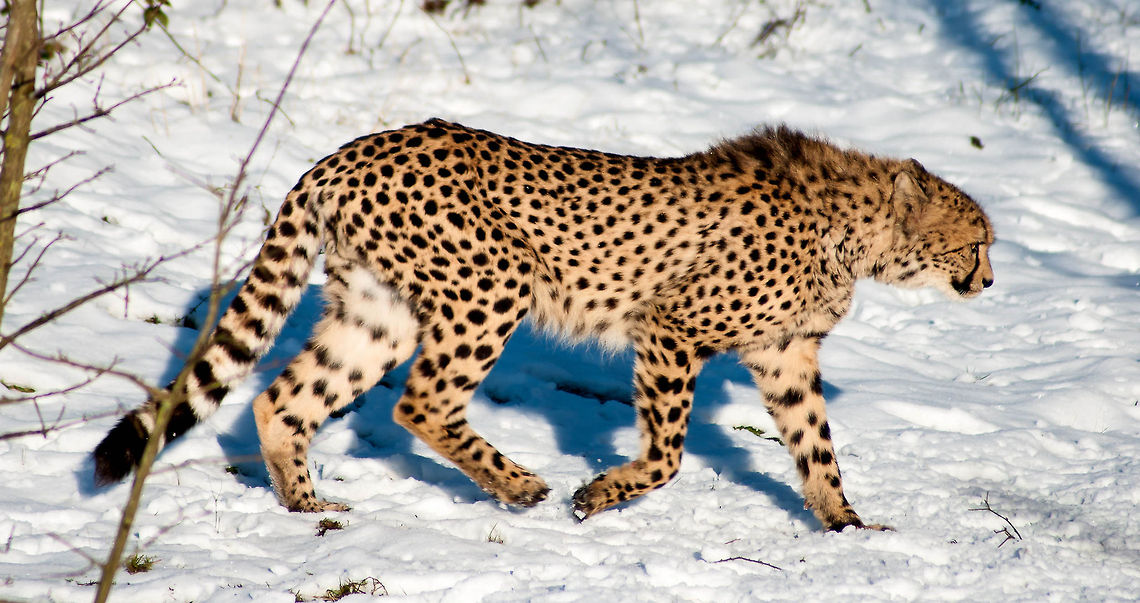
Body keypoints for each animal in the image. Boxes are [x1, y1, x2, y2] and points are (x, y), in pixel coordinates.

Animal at [94, 119, 994, 531]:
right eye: (977, 241)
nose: (989, 280)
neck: (859, 231)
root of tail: (355, 148)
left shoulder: (784, 354)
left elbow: (817, 444)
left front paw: (847, 523)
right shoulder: (669, 327)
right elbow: (669, 453)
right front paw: (600, 492)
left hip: (378, 311)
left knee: (284, 398)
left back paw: (308, 504)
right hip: (493, 286)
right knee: (420, 402)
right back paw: (519, 483)